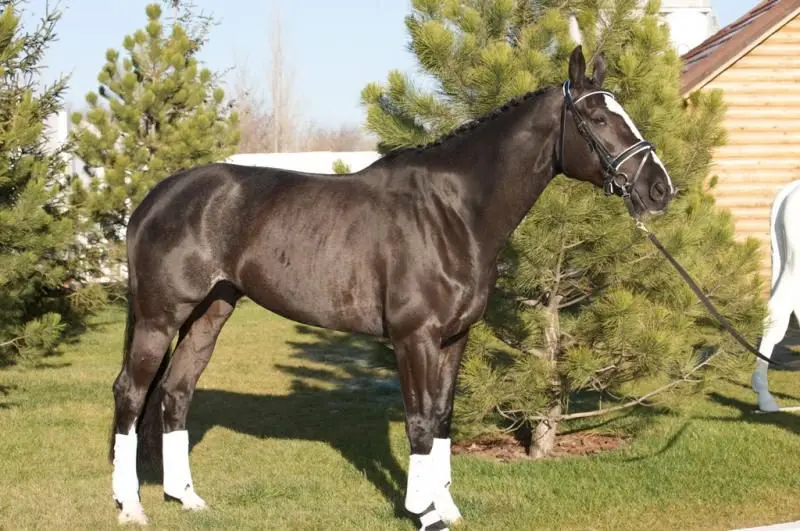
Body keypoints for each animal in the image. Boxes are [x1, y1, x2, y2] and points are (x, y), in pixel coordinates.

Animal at [109, 45, 676, 529]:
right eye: (599, 119)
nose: (659, 189)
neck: (452, 211)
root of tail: (154, 199)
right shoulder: (414, 339)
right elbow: (419, 423)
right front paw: (424, 513)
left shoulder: (453, 339)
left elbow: (442, 420)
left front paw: (447, 508)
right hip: (160, 317)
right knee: (132, 393)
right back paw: (131, 507)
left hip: (211, 311)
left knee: (177, 391)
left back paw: (187, 498)